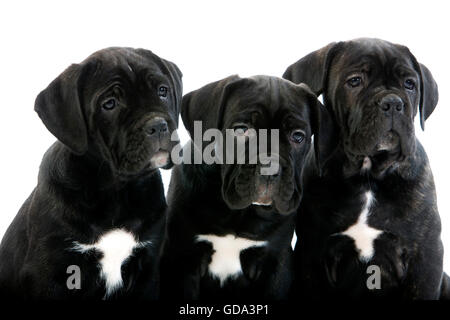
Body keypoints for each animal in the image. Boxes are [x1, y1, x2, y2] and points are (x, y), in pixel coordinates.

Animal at [0, 47, 183, 300]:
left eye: (162, 91)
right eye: (110, 104)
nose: (157, 125)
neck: (117, 192)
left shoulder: (148, 271)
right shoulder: (50, 275)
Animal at [161, 75, 334, 300]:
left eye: (298, 136)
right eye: (241, 130)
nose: (270, 167)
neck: (238, 214)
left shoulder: (276, 264)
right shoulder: (183, 261)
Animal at [284, 38, 444, 300]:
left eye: (410, 84)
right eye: (355, 81)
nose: (393, 102)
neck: (368, 174)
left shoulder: (426, 256)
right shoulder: (312, 254)